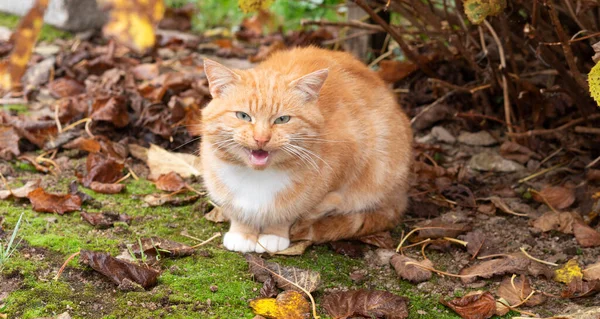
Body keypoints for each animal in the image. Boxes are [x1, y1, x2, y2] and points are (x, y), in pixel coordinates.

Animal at [202, 47, 412, 252]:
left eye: (282, 119)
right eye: (243, 116)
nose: (261, 138)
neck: (257, 178)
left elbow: (294, 212)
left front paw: (274, 234)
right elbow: (237, 211)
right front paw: (242, 233)